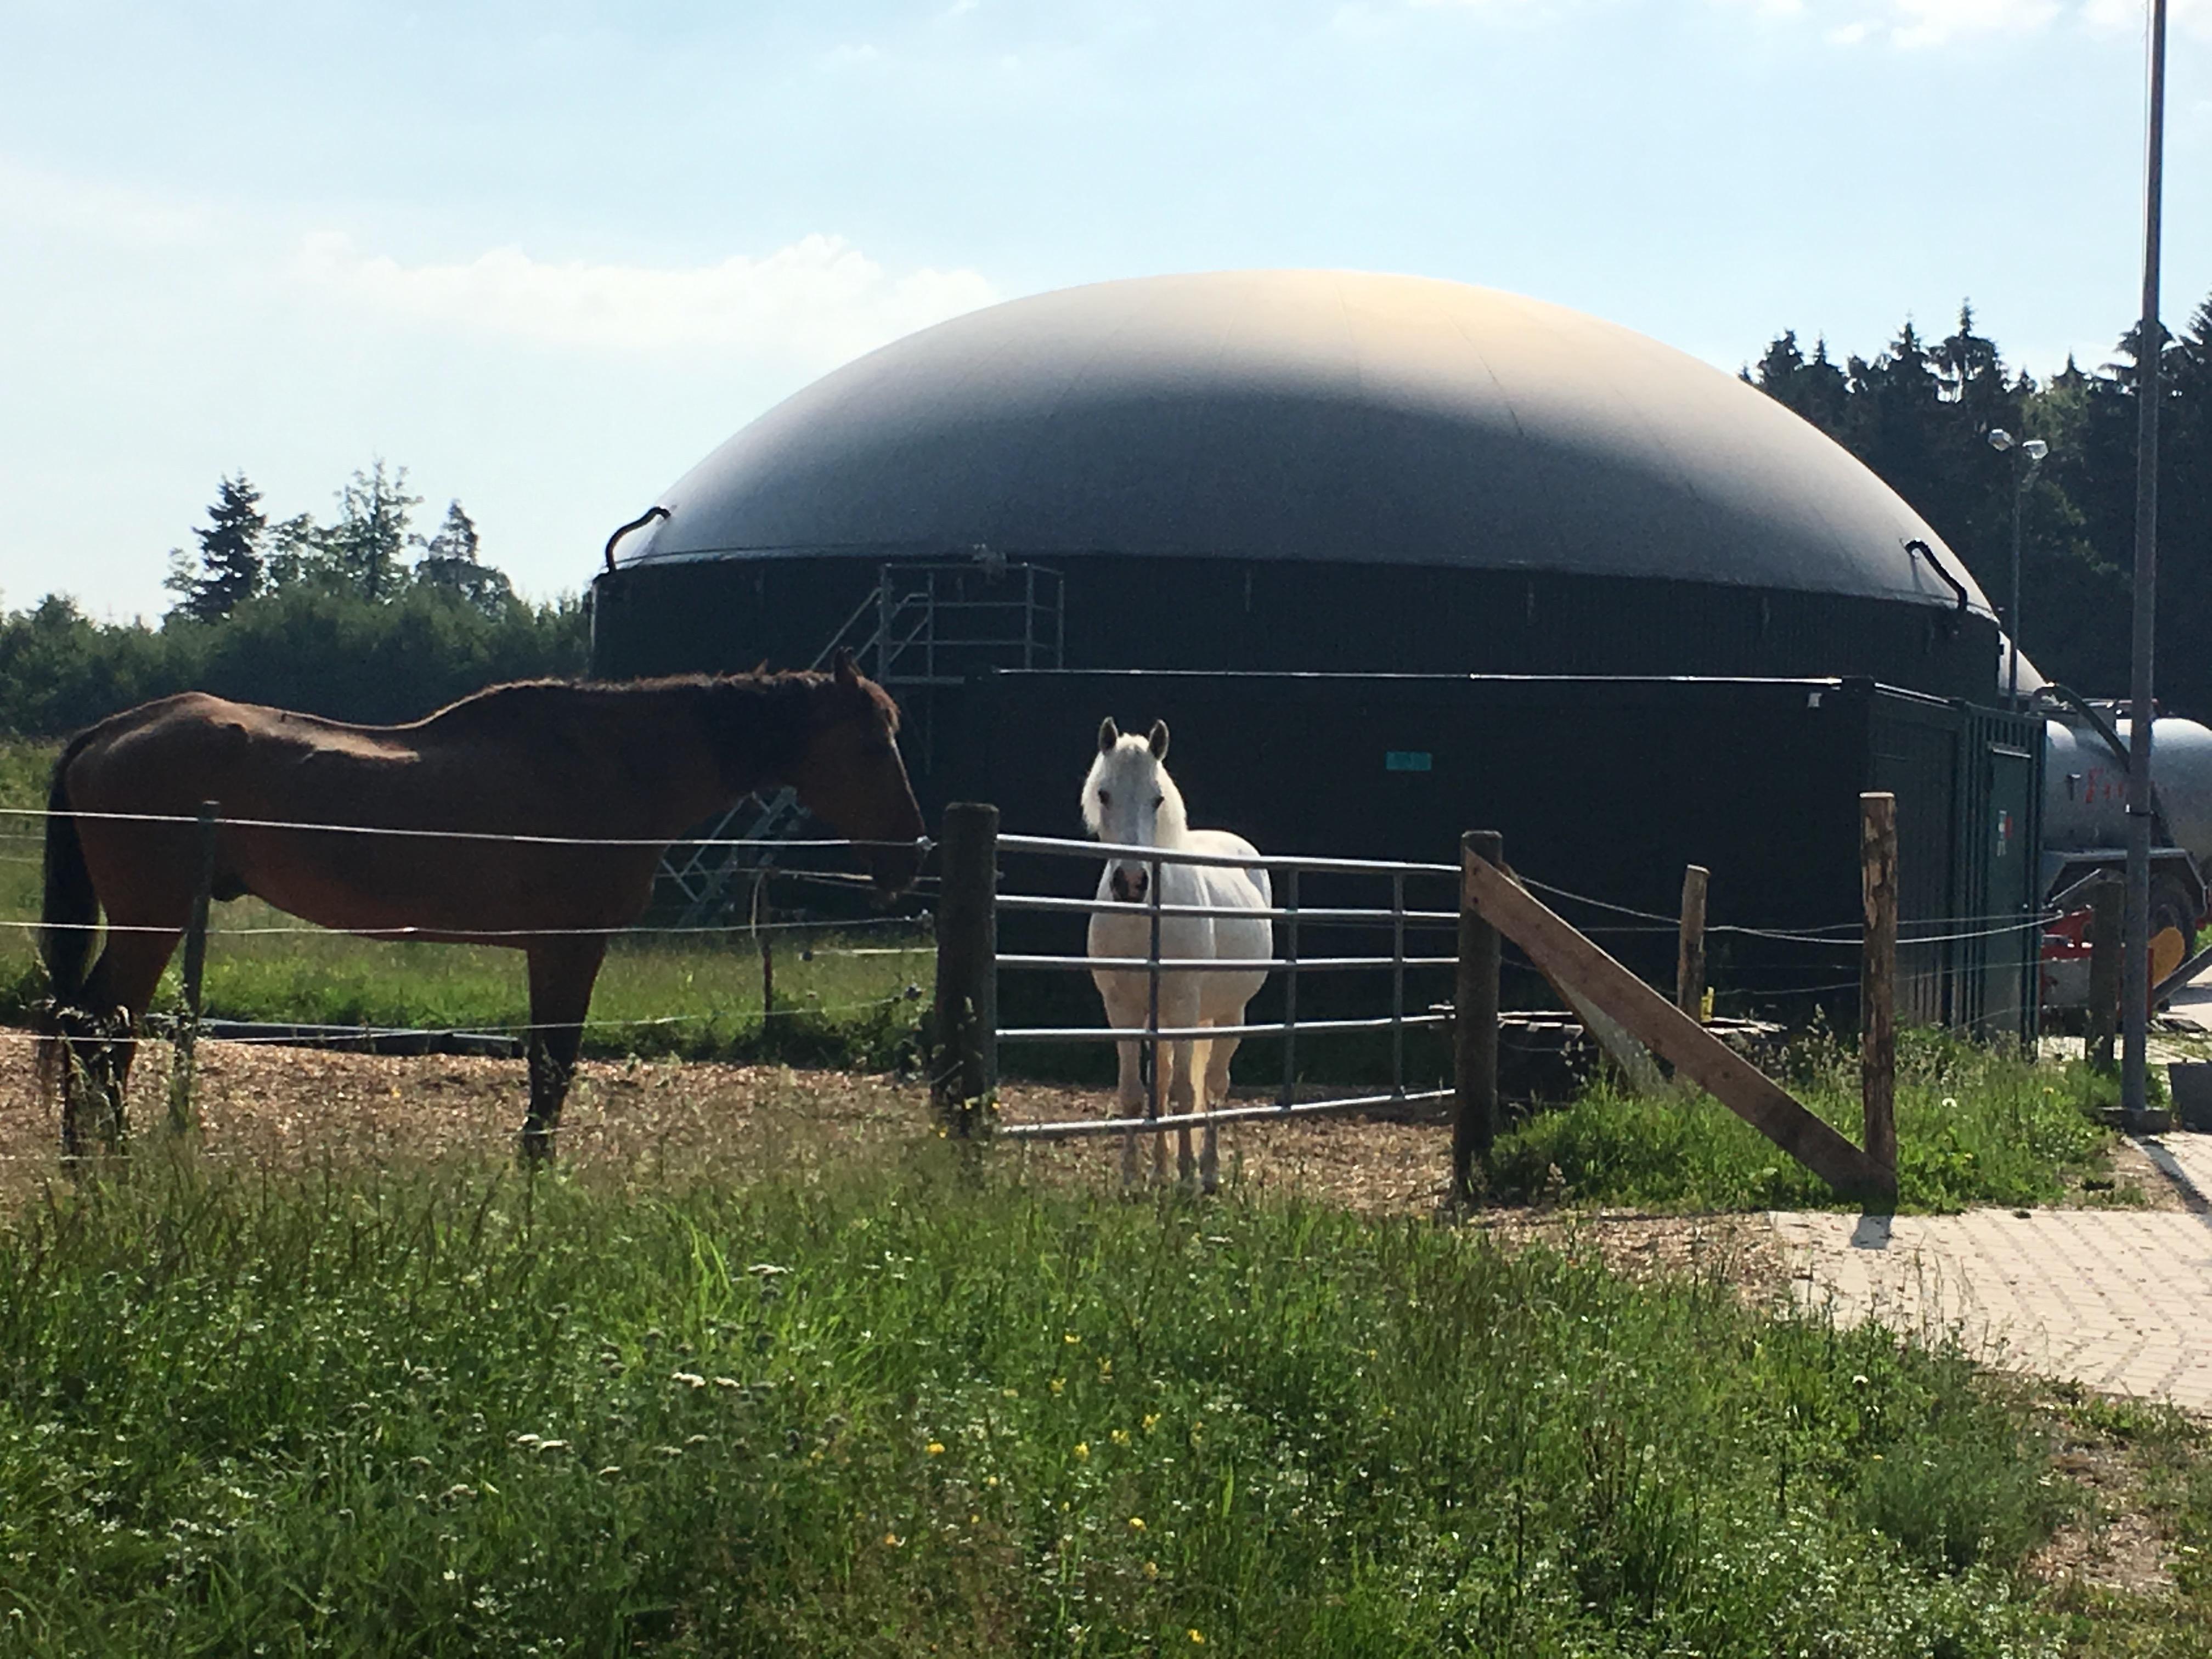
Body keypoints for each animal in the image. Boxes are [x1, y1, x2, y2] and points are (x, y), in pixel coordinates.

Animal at [43, 650, 924, 1159]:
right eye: (869, 743)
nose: (911, 853)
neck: (611, 767)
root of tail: (109, 732)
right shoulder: (570, 947)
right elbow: (553, 1071)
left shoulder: (553, 950)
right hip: (151, 920)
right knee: (101, 1032)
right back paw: (113, 1161)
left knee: (92, 1027)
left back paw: (87, 1160)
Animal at [1079, 721, 1274, 1186]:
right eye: (1104, 794)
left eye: (1158, 798)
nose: (1132, 882)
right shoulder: (1123, 1011)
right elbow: (1136, 1094)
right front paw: (1133, 1179)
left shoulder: (1186, 1007)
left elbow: (1186, 1095)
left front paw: (1186, 1175)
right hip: (1163, 1021)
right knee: (1165, 1082)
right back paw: (1160, 1170)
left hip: (1226, 1015)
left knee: (1214, 1087)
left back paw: (1207, 1172)